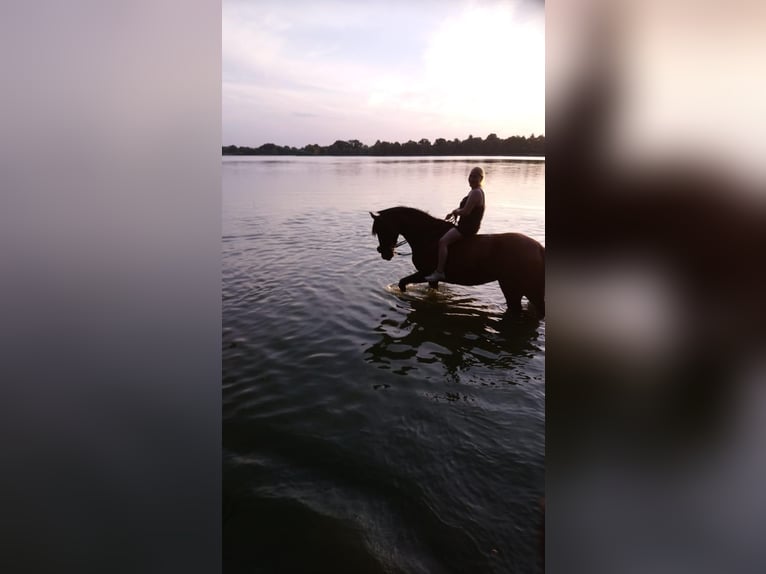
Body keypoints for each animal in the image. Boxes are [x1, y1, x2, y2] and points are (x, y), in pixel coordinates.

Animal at [370, 207, 544, 318]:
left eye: (382, 229)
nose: (385, 253)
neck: (427, 236)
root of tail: (539, 248)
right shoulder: (431, 278)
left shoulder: (425, 273)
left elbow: (402, 283)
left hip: (515, 288)